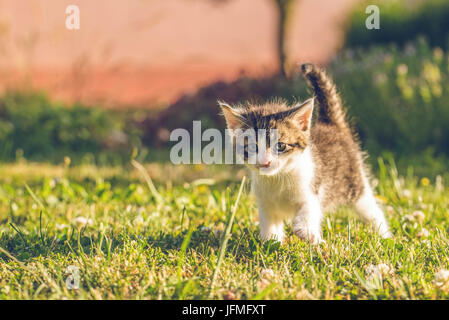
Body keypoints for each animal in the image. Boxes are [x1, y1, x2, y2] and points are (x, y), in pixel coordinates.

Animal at [219, 62, 390, 244]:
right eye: (252, 146)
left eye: (280, 146)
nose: (265, 162)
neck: (278, 179)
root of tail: (331, 125)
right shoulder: (265, 203)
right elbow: (269, 225)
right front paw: (271, 242)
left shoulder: (311, 190)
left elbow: (307, 211)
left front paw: (307, 232)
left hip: (354, 184)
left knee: (371, 209)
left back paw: (384, 235)